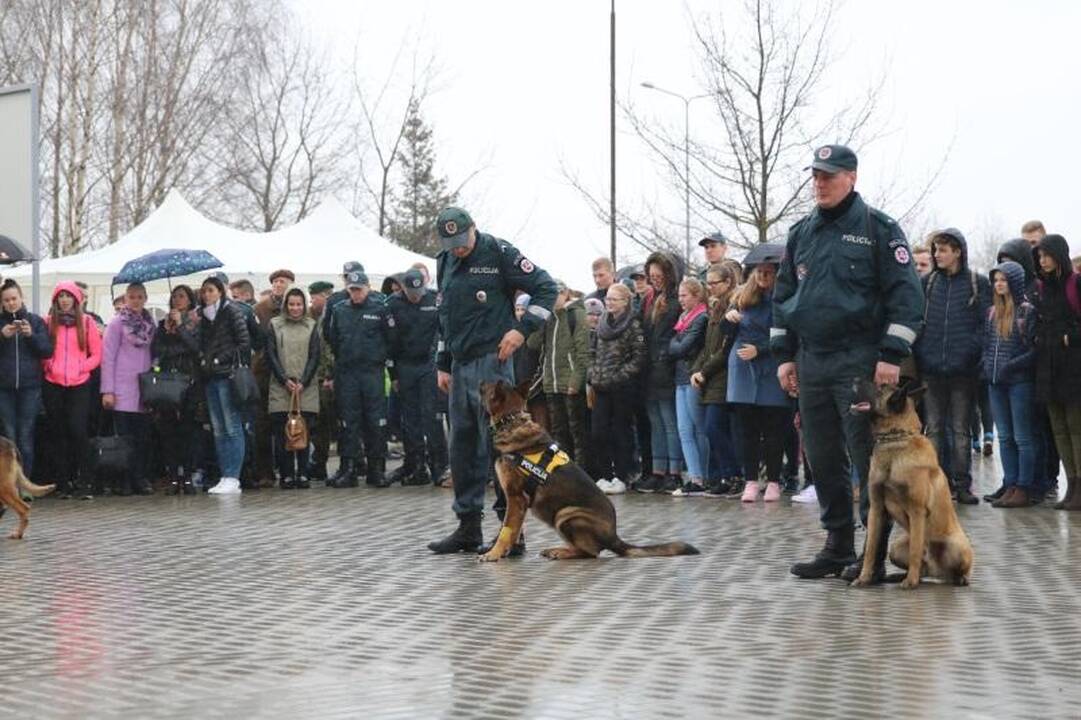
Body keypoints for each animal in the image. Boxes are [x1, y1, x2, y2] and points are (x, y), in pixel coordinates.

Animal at [475, 376, 696, 562]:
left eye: (487, 387)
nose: (479, 381)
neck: (511, 420)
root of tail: (614, 537)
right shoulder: (517, 503)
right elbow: (512, 531)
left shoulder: (516, 498)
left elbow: (506, 530)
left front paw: (493, 553)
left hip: (566, 515)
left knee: (590, 552)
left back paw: (562, 552)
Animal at [847, 378, 977, 588]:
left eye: (880, 388)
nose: (854, 379)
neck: (895, 441)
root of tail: (938, 572)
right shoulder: (877, 510)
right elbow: (871, 550)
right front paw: (864, 577)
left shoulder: (917, 511)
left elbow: (916, 549)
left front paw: (910, 582)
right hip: (896, 547)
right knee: (922, 566)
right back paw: (902, 576)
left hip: (956, 547)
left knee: (953, 569)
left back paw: (956, 579)